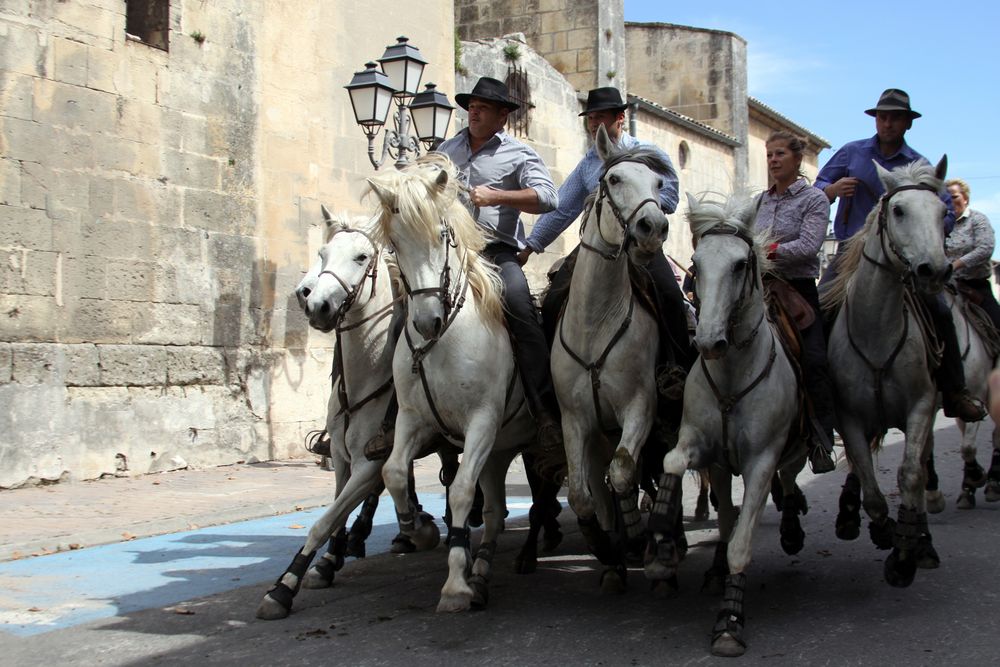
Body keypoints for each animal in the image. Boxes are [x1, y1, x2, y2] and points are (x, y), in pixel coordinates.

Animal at [254, 210, 438, 620]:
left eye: (361, 256)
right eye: (322, 252)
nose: (315, 303)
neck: (368, 373)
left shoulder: (370, 461)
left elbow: (325, 520)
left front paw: (284, 586)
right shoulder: (341, 456)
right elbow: (338, 510)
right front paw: (328, 560)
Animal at [368, 154, 540, 612]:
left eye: (442, 235)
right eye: (394, 244)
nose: (427, 321)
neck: (444, 341)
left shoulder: (481, 421)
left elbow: (461, 491)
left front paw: (455, 586)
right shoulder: (413, 418)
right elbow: (394, 471)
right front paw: (416, 528)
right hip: (501, 450)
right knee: (496, 512)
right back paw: (481, 570)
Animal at [552, 125, 676, 588]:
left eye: (659, 184)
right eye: (614, 179)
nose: (653, 227)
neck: (597, 324)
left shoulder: (641, 407)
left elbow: (624, 472)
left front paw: (639, 539)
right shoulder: (575, 420)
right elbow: (581, 494)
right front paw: (607, 549)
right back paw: (615, 563)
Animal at [644, 193, 808, 656]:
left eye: (739, 265)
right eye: (696, 264)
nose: (708, 342)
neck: (734, 374)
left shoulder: (760, 462)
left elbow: (742, 543)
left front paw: (730, 622)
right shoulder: (698, 443)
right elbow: (673, 464)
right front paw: (662, 539)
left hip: (794, 448)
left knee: (789, 481)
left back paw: (791, 529)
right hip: (719, 466)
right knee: (725, 514)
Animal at [820, 159, 952, 588]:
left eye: (942, 212)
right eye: (898, 210)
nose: (934, 270)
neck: (875, 328)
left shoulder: (921, 406)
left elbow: (909, 474)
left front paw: (906, 552)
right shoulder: (849, 416)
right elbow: (871, 487)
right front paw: (883, 531)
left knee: (921, 465)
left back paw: (923, 539)